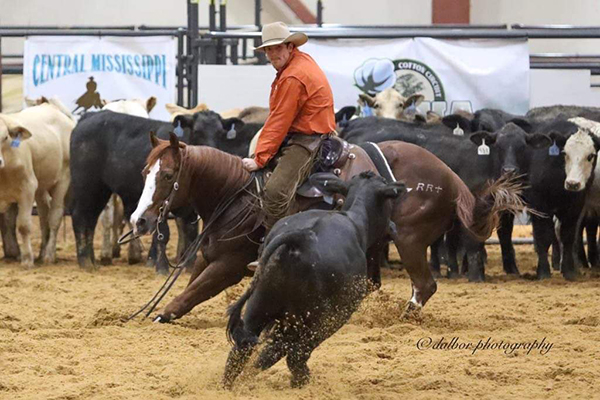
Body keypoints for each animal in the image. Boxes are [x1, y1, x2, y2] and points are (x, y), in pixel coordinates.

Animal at [0, 101, 74, 268]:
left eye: (5, 137)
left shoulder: (27, 188)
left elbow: (23, 226)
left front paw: (27, 259)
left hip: (62, 180)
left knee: (54, 218)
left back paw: (49, 255)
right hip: (41, 189)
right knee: (43, 218)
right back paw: (42, 253)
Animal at [131, 133, 524, 324]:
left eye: (168, 174)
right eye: (144, 172)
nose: (139, 221)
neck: (235, 195)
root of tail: (451, 178)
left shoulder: (230, 265)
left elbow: (192, 294)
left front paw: (162, 314)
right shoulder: (208, 257)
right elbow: (191, 285)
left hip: (410, 240)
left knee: (424, 286)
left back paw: (401, 318)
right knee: (369, 286)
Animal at [223, 172, 406, 388]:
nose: (393, 227)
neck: (356, 221)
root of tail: (300, 240)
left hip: (259, 308)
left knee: (242, 351)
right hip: (321, 319)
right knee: (293, 354)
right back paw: (301, 381)